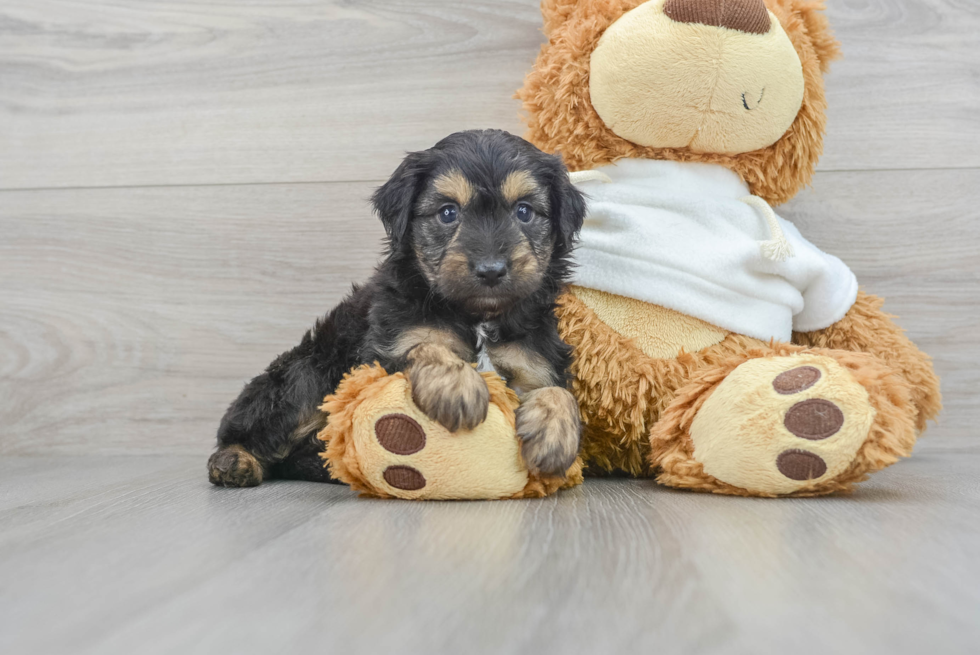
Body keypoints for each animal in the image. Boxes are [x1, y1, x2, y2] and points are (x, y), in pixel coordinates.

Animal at [208, 129, 584, 486]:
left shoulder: (534, 361)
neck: (477, 316)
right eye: (448, 212)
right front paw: (458, 388)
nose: (490, 270)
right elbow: (425, 345)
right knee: (243, 430)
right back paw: (233, 461)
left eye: (524, 211)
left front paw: (556, 437)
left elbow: (558, 392)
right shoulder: (386, 348)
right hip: (303, 376)